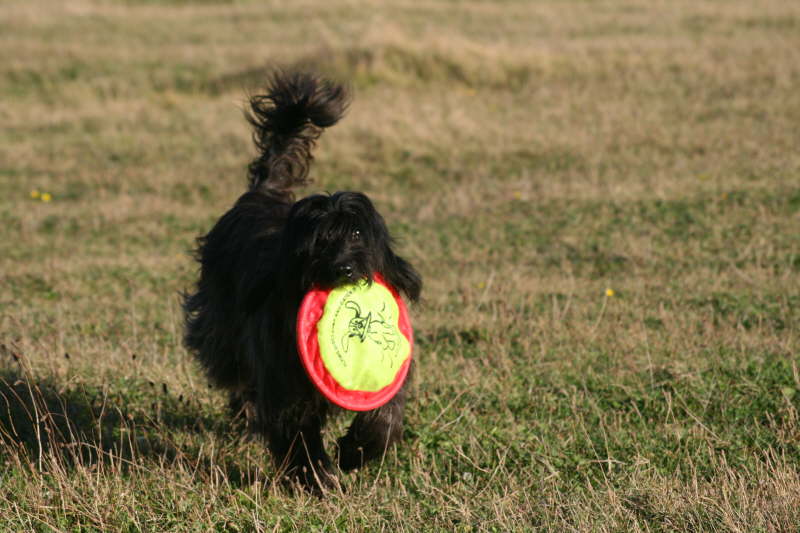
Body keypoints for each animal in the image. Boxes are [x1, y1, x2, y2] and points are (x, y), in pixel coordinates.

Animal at [181, 70, 418, 490]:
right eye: (318, 241)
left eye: (357, 234)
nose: (343, 270)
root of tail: (261, 194)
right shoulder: (282, 374)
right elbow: (296, 428)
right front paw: (316, 478)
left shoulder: (392, 374)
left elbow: (387, 413)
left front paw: (356, 452)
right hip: (221, 331)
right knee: (238, 373)